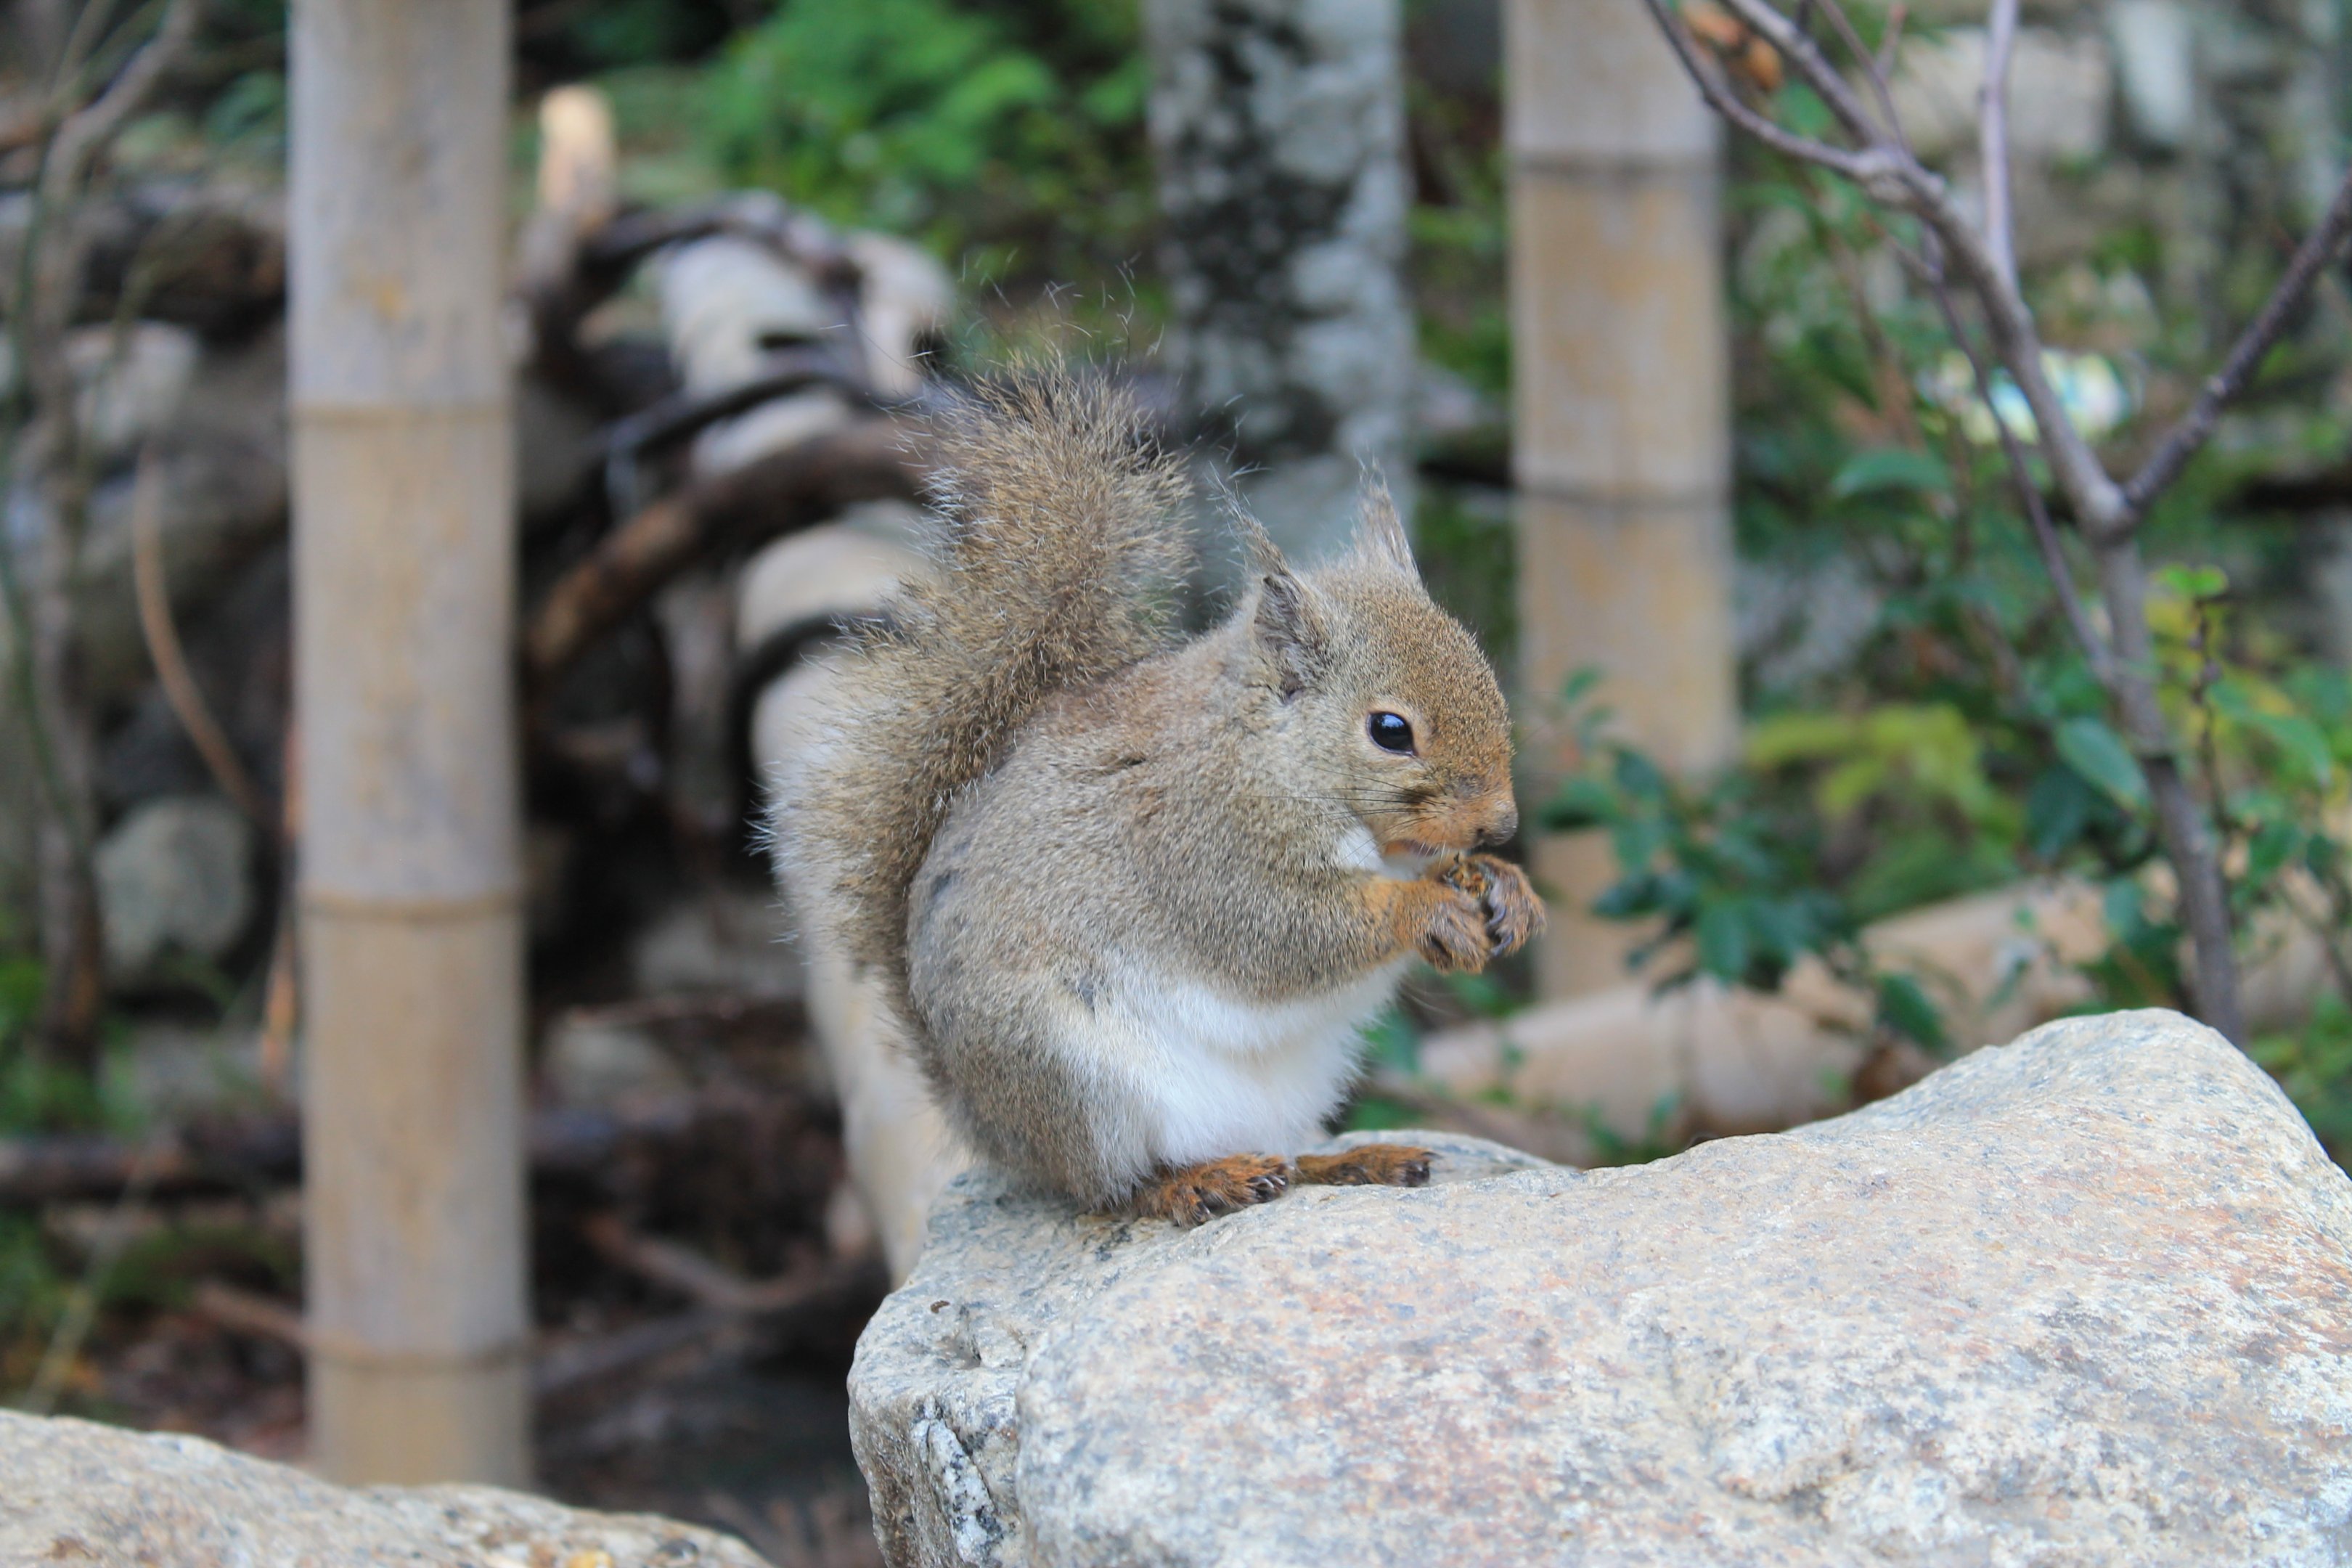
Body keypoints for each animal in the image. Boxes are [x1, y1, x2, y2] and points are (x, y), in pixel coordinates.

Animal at [772, 369, 1543, 1225]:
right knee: (1114, 1189)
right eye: (1390, 731)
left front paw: (1507, 887)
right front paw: (1428, 909)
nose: (1501, 823)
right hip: (1079, 1080)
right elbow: (1283, 932)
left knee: (1287, 1153)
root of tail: (993, 1126)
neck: (1272, 758)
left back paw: (1355, 1159)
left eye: (1483, 668)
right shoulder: (1198, 845)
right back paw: (1201, 1181)